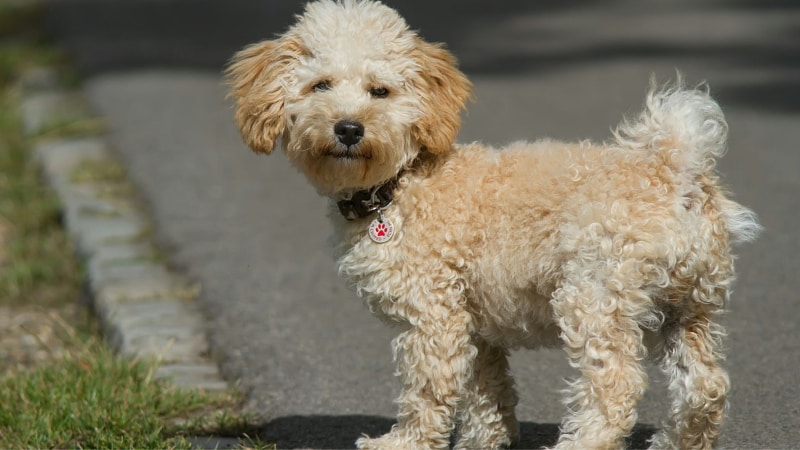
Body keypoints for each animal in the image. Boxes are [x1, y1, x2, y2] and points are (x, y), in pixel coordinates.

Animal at [223, 1, 756, 448]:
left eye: (380, 91)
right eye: (320, 86)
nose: (349, 128)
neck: (400, 183)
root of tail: (675, 168)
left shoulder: (433, 315)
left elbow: (429, 389)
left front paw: (402, 442)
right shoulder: (475, 326)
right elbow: (488, 394)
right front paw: (482, 441)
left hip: (596, 296)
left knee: (616, 388)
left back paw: (580, 442)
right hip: (690, 306)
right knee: (706, 387)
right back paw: (676, 441)